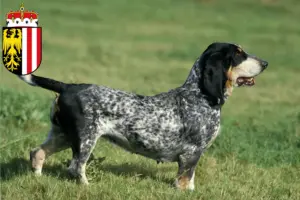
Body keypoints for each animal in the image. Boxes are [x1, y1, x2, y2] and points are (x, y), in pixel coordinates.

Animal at [18, 41, 268, 189]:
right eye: (239, 54)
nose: (266, 62)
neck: (199, 95)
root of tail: (67, 87)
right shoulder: (192, 153)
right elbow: (185, 181)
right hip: (85, 139)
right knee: (75, 167)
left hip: (63, 135)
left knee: (37, 152)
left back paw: (37, 178)